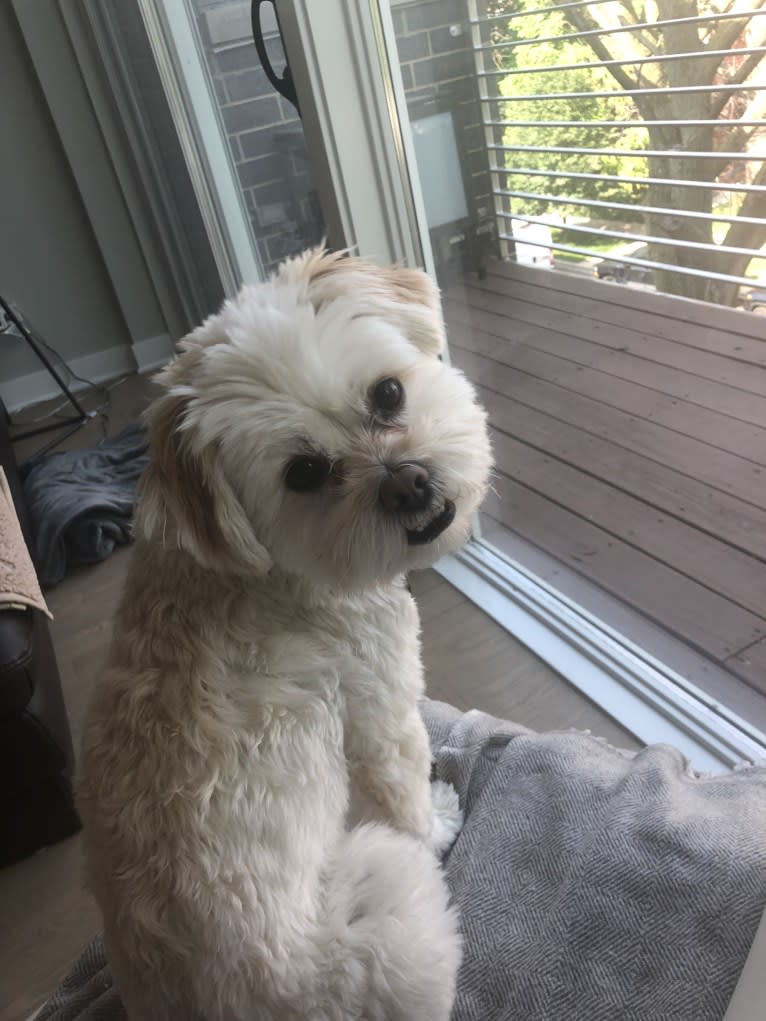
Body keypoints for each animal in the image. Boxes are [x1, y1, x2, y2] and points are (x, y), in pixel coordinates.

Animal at [76, 249, 492, 1021]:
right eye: (304, 473)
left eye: (388, 394)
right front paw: (441, 818)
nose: (409, 483)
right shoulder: (381, 710)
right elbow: (407, 792)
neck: (264, 572)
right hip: (384, 896)